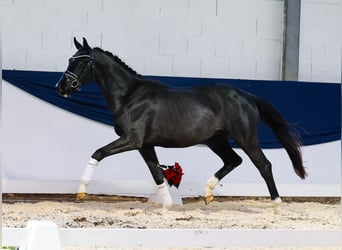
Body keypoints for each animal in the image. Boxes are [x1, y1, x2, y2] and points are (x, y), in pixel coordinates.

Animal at [56, 37, 308, 209]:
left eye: (82, 62)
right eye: (70, 60)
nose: (61, 87)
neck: (130, 96)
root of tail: (247, 96)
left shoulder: (131, 140)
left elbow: (97, 153)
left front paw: (81, 192)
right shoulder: (144, 145)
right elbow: (157, 174)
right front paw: (168, 206)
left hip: (246, 138)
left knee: (264, 165)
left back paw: (276, 204)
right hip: (216, 140)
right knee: (233, 160)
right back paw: (208, 193)